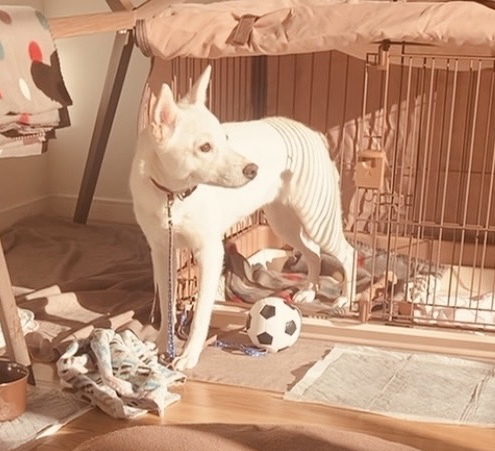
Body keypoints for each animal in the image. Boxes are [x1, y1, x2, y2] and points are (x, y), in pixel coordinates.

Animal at [130, 65, 356, 371]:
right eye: (205, 147)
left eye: (225, 139)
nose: (253, 170)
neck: (173, 197)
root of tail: (314, 135)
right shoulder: (162, 252)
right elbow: (167, 306)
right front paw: (163, 343)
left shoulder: (210, 254)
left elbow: (200, 314)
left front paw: (189, 355)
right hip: (284, 222)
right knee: (313, 253)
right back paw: (309, 290)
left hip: (318, 219)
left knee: (347, 253)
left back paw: (344, 298)